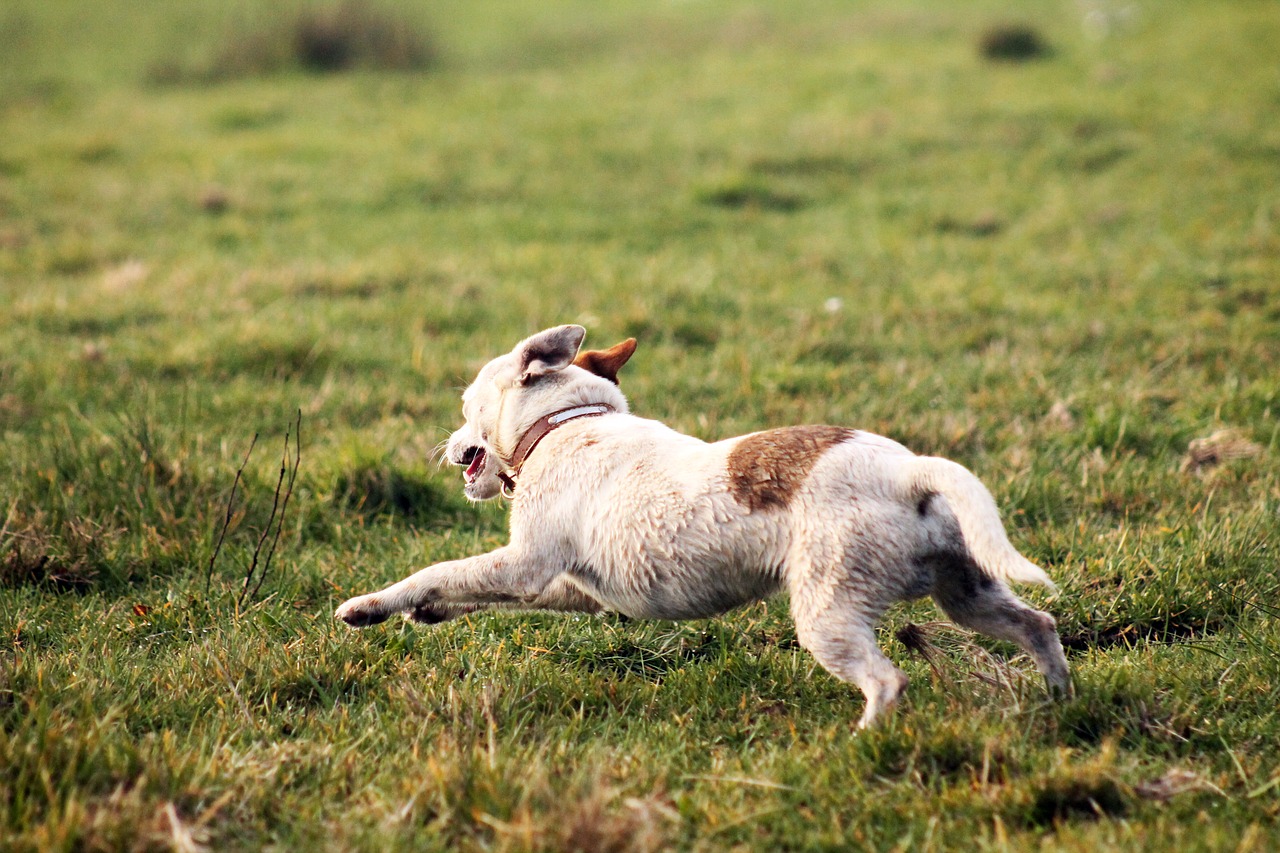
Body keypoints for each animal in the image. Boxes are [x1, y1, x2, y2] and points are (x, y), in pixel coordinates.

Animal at [332, 325, 1070, 722]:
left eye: (467, 406)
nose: (451, 447)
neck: (568, 423)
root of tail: (910, 471)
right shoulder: (572, 585)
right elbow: (472, 591)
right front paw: (427, 612)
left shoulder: (526, 563)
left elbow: (441, 570)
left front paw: (371, 605)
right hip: (965, 589)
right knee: (1037, 623)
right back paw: (1060, 700)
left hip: (828, 609)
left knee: (887, 680)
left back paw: (864, 741)